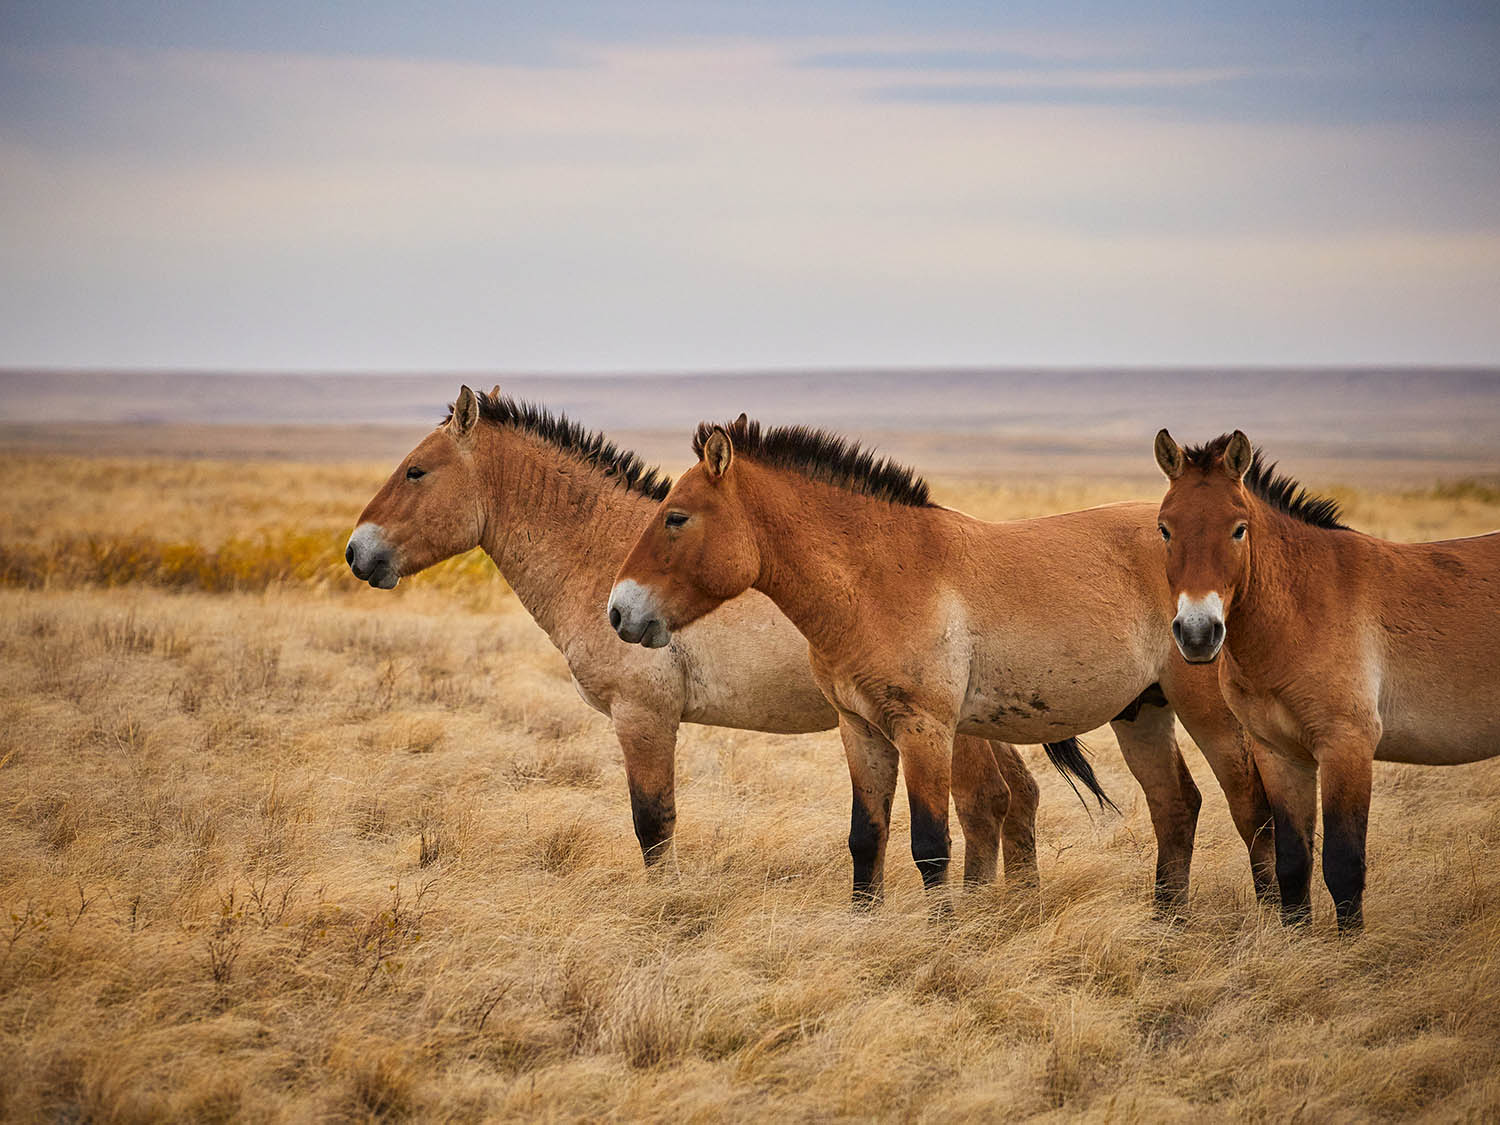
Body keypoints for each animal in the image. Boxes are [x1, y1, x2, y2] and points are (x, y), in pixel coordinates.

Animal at [346, 384, 1049, 887]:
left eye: (415, 472)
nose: (357, 553)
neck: (604, 556)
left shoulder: (643, 717)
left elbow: (653, 823)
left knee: (985, 804)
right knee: (1017, 799)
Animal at [609, 416, 1279, 910]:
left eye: (675, 517)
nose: (619, 613)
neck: (877, 579)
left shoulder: (924, 730)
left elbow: (931, 842)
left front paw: (942, 940)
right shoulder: (862, 730)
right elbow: (867, 838)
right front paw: (865, 925)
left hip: (1210, 715)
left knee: (1252, 808)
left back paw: (1271, 921)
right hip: (1142, 713)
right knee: (1177, 808)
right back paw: (1167, 923)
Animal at [1154, 429, 1500, 932]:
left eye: (1239, 529)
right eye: (1165, 528)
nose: (1198, 634)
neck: (1303, 607)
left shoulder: (1346, 746)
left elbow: (1343, 864)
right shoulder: (1280, 755)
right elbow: (1292, 862)